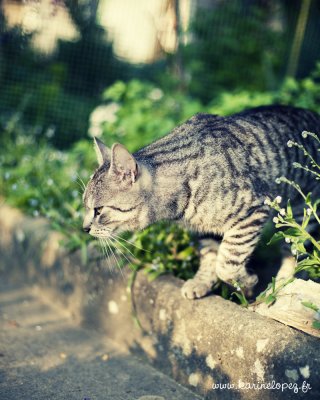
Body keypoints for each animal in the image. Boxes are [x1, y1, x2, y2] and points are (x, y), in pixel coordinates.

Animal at [82, 106, 320, 300]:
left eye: (99, 210)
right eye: (86, 207)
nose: (84, 228)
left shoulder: (252, 212)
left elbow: (227, 262)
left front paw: (246, 282)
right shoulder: (204, 231)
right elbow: (211, 256)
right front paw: (203, 282)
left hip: (300, 218)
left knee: (295, 253)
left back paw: (279, 287)